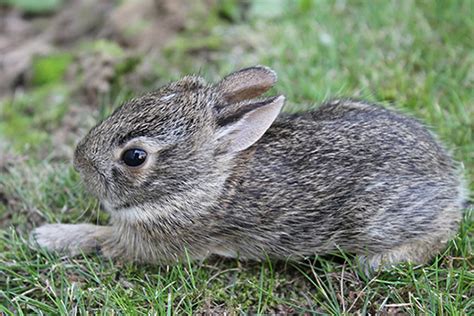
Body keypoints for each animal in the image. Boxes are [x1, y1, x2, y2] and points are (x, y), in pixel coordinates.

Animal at [30, 65, 466, 270]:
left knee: (442, 229)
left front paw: (49, 236)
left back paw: (378, 262)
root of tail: (449, 176)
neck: (205, 182)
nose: (79, 162)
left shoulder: (158, 242)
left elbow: (102, 238)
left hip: (378, 219)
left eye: (135, 157)